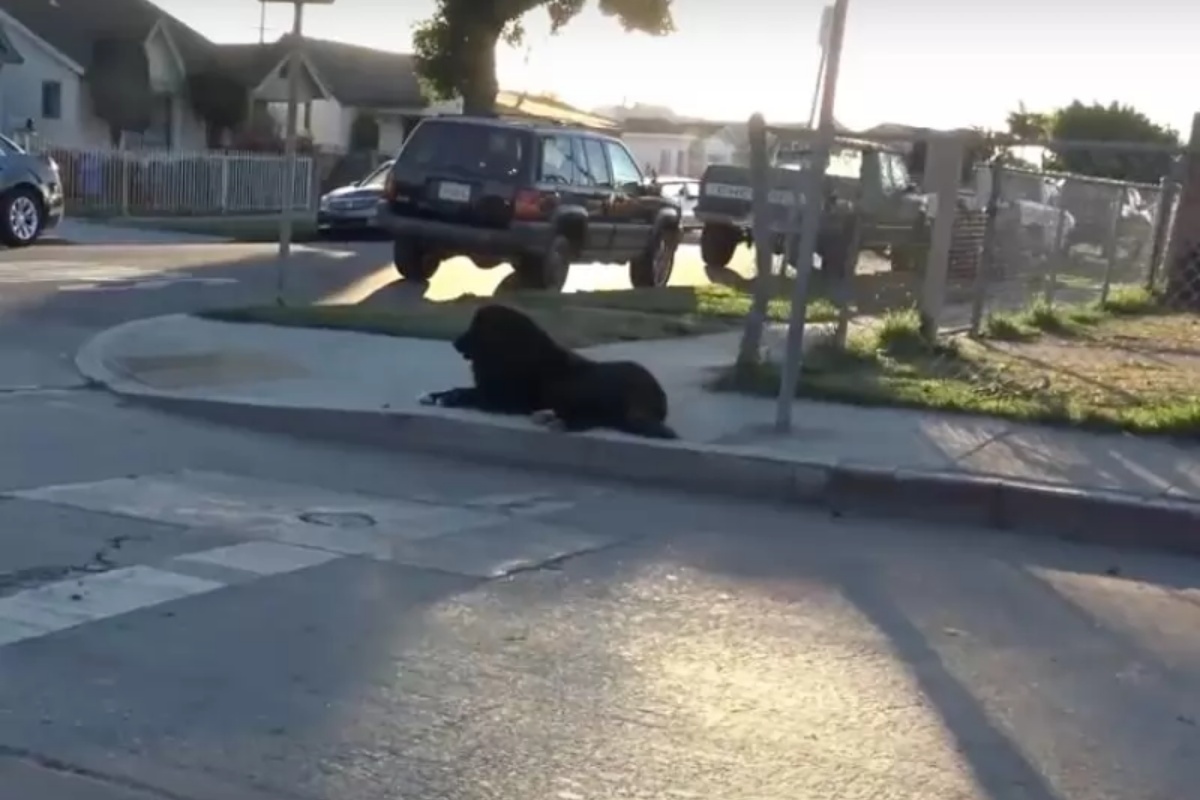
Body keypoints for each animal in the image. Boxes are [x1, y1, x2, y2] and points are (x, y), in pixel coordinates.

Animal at [415, 303, 676, 441]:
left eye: (475, 329)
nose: (454, 343)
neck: (509, 350)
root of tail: (657, 394)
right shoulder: (489, 388)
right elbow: (459, 389)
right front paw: (434, 395)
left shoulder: (503, 400)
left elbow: (468, 395)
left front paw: (448, 399)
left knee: (598, 419)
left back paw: (557, 421)